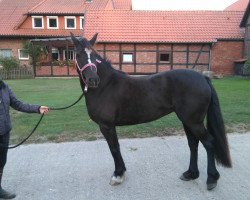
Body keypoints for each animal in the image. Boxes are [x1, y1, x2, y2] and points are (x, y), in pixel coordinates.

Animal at [70, 32, 230, 191]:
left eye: (95, 56)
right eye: (78, 55)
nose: (93, 80)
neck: (106, 86)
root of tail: (203, 77)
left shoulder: (107, 126)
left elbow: (114, 148)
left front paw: (118, 175)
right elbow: (115, 148)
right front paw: (121, 172)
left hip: (194, 122)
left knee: (209, 143)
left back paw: (211, 178)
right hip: (188, 121)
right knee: (193, 144)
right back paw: (191, 173)